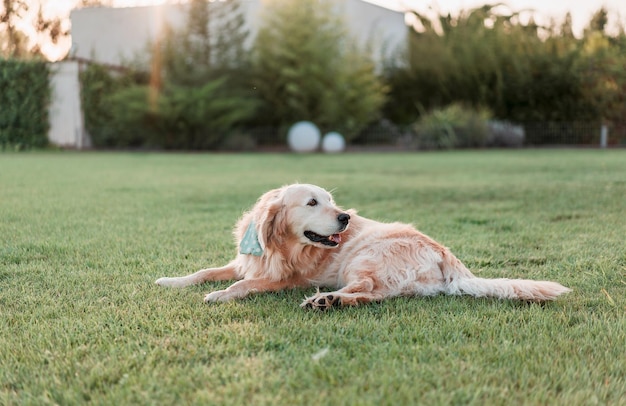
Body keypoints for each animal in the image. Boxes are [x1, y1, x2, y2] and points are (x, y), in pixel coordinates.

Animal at [156, 182, 572, 310]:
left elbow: (243, 285)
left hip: (365, 256)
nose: (345, 218)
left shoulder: (285, 280)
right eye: (313, 202)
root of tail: (445, 253)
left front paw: (220, 295)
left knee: (368, 291)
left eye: (330, 200)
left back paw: (326, 300)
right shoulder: (247, 261)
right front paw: (170, 281)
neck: (278, 244)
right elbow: (205, 271)